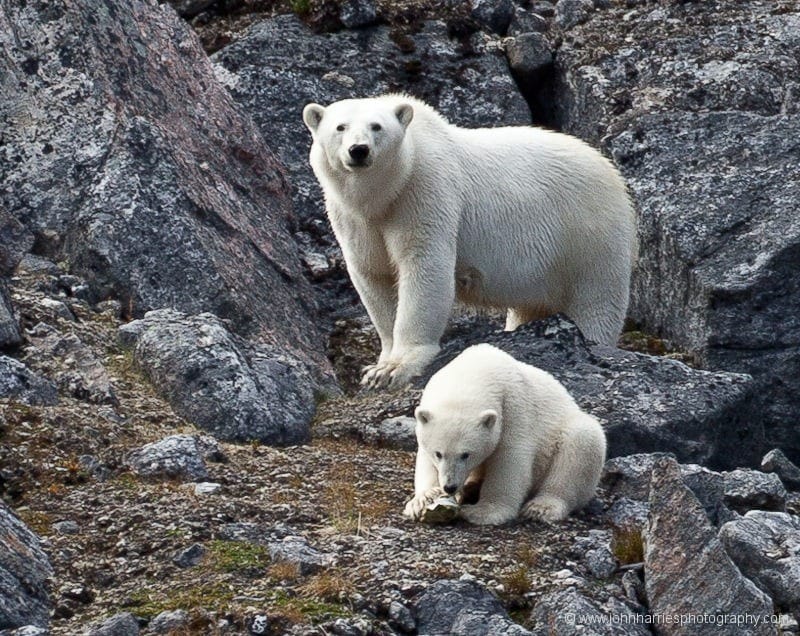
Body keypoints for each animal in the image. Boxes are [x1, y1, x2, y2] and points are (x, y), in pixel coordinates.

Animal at [302, 94, 637, 391]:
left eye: (377, 126)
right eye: (340, 127)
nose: (358, 150)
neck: (383, 195)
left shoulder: (425, 191)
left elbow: (424, 267)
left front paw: (395, 369)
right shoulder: (354, 218)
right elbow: (373, 274)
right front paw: (378, 366)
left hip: (588, 236)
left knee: (596, 301)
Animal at [403, 344, 606, 525]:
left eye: (466, 454)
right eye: (438, 453)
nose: (449, 486)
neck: (475, 371)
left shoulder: (513, 407)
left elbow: (509, 458)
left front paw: (482, 512)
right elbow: (425, 459)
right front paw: (425, 499)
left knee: (580, 443)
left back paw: (541, 507)